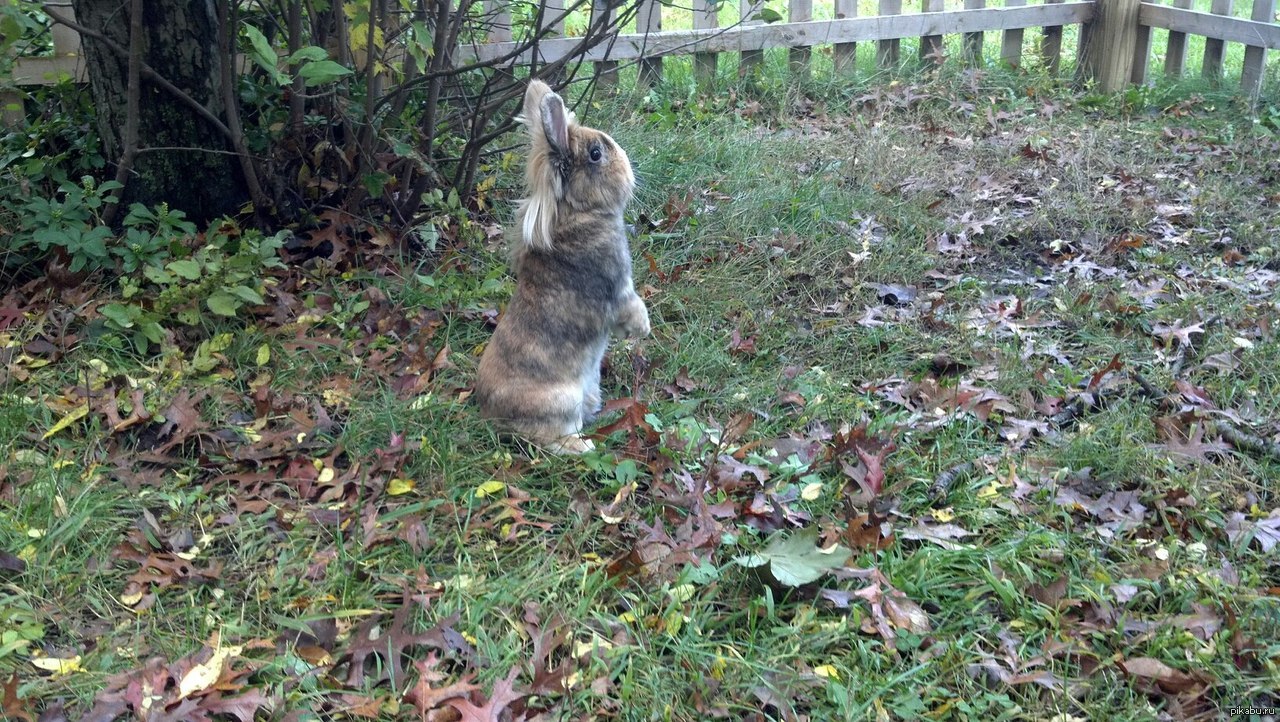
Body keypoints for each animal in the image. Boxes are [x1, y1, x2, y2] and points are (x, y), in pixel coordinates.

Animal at [473, 79, 650, 450]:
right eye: (596, 154)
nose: (629, 170)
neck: (578, 212)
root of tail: (491, 416)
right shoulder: (618, 288)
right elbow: (631, 307)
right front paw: (643, 330)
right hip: (562, 401)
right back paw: (583, 446)